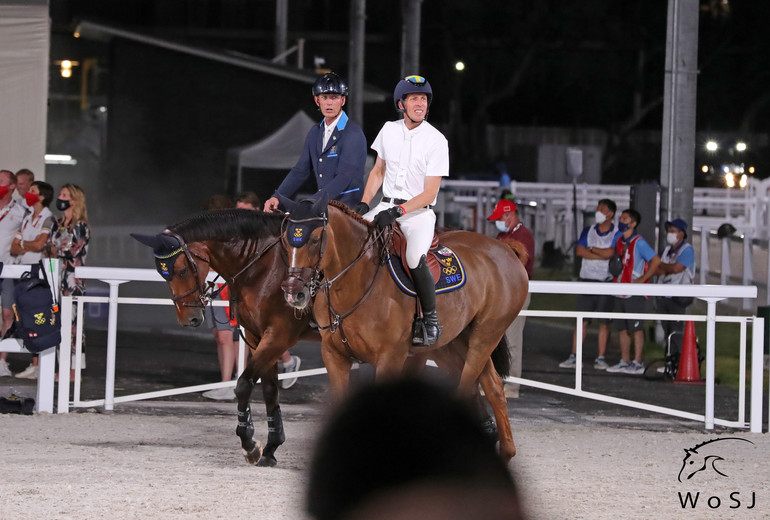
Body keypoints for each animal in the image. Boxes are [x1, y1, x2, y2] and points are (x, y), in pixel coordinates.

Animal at [132, 209, 312, 466]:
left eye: (182, 270)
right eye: (162, 274)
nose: (188, 319)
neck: (264, 267)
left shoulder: (279, 336)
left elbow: (244, 384)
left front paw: (250, 445)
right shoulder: (259, 337)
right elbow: (269, 390)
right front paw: (270, 448)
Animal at [280, 199, 528, 464]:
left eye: (315, 239)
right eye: (286, 239)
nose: (293, 293)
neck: (357, 281)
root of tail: (504, 248)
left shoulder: (390, 358)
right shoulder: (334, 356)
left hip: (485, 336)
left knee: (469, 386)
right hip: (458, 341)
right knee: (492, 386)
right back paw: (507, 451)